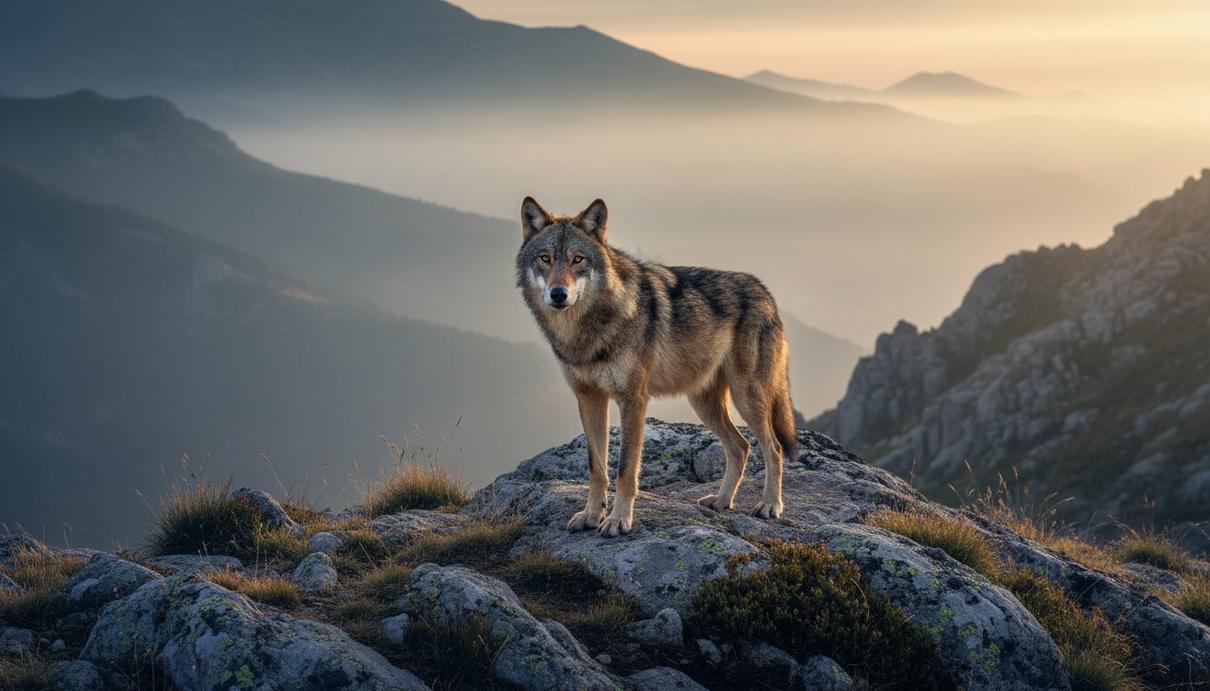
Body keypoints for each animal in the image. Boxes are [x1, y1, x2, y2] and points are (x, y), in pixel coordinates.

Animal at [516, 197, 797, 537]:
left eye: (577, 259)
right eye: (545, 258)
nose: (559, 294)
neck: (586, 332)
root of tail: (766, 293)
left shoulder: (633, 400)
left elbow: (625, 470)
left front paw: (618, 520)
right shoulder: (589, 398)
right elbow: (596, 468)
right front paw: (591, 515)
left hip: (747, 398)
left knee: (773, 448)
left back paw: (770, 505)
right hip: (704, 403)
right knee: (741, 447)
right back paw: (721, 501)